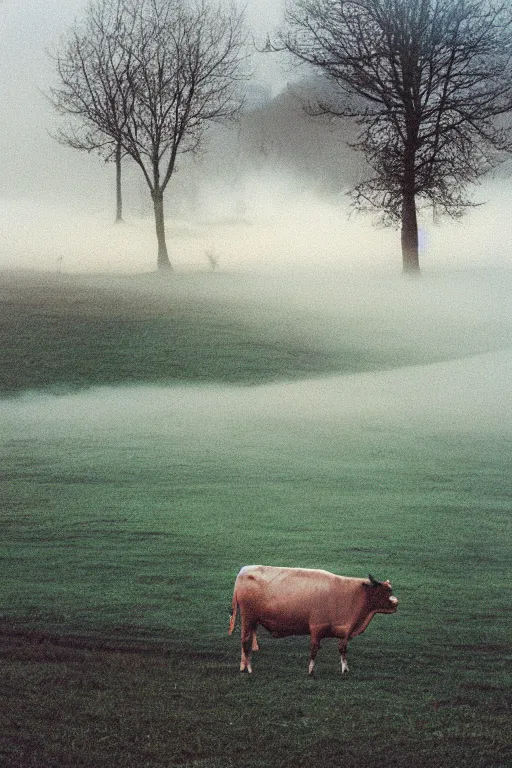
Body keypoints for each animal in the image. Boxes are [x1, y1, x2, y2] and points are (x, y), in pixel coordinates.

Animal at [229, 564, 400, 672]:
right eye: (386, 591)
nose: (396, 603)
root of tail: (244, 571)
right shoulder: (317, 627)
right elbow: (314, 649)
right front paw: (311, 670)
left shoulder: (344, 631)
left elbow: (342, 649)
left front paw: (345, 668)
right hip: (248, 617)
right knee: (245, 640)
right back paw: (247, 668)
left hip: (252, 620)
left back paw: (244, 664)